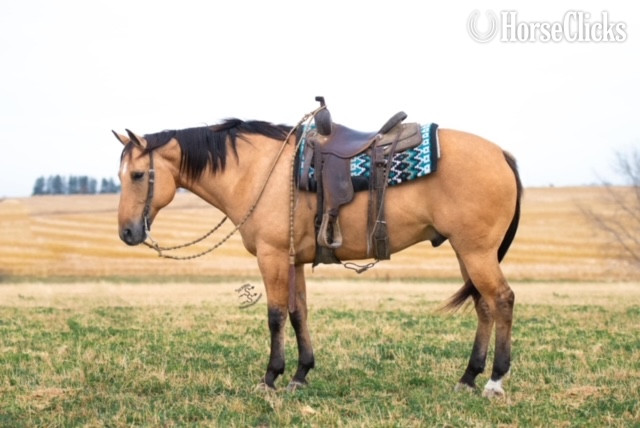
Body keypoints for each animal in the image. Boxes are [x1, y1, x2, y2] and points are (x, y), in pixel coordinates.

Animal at [113, 111, 522, 398]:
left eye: (137, 175)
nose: (127, 233)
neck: (258, 172)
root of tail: (501, 153)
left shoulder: (272, 256)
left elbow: (276, 315)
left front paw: (270, 377)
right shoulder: (293, 259)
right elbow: (298, 313)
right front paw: (300, 374)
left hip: (476, 251)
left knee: (502, 300)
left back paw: (495, 380)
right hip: (466, 251)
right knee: (483, 305)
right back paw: (469, 377)